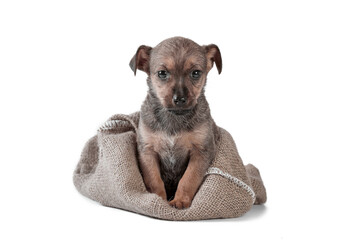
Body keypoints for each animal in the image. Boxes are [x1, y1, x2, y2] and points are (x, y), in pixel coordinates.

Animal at [129, 36, 221, 208]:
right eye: (162, 73)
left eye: (196, 73)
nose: (180, 99)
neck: (174, 118)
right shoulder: (148, 151)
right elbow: (154, 180)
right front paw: (158, 200)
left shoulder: (201, 151)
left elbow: (188, 179)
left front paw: (179, 201)